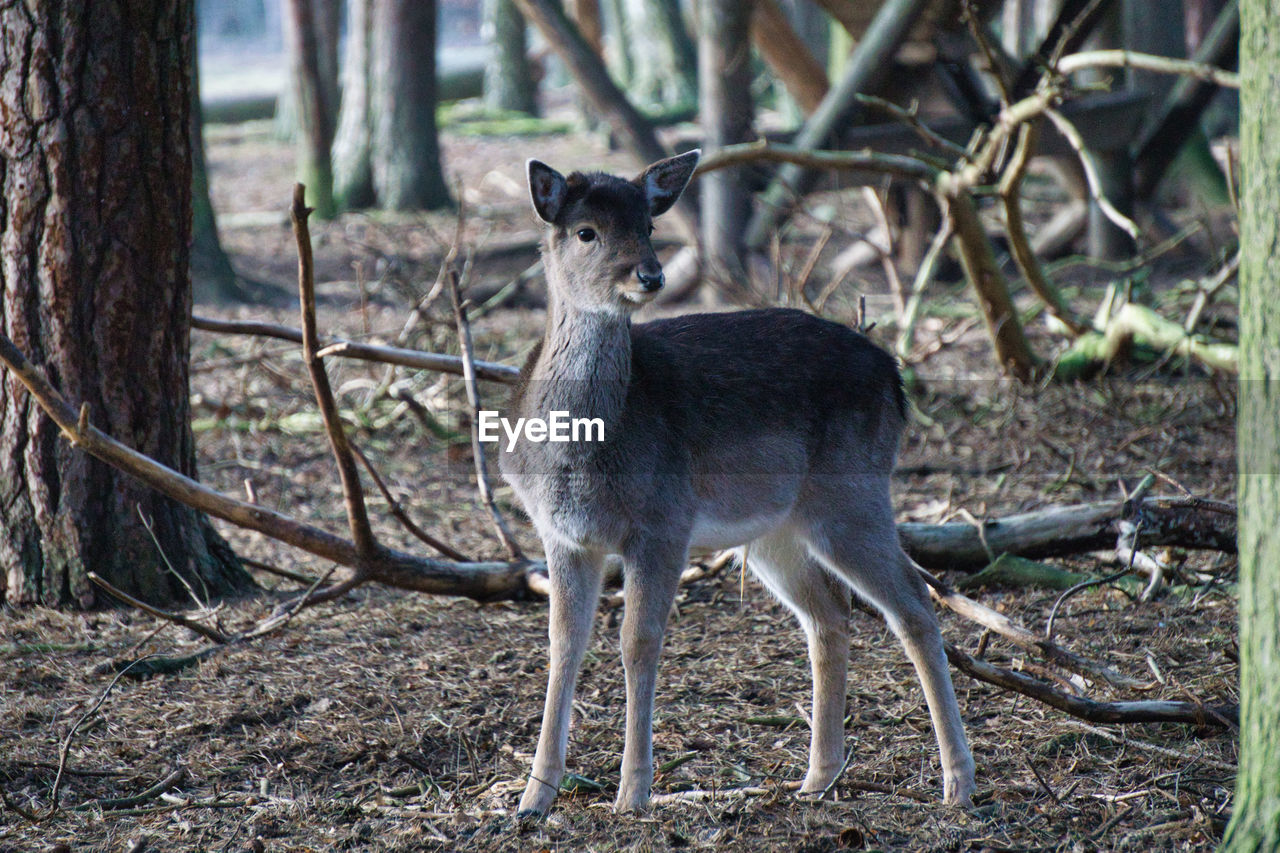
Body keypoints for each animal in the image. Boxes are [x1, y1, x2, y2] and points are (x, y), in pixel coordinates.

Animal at [494, 149, 972, 814]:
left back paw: (958, 783)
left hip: (851, 495)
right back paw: (817, 778)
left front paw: (632, 795)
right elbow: (563, 647)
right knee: (829, 614)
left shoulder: (663, 523)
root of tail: (896, 378)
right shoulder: (562, 537)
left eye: (648, 225)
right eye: (586, 232)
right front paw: (532, 799)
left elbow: (638, 643)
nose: (649, 276)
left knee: (915, 603)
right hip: (777, 531)